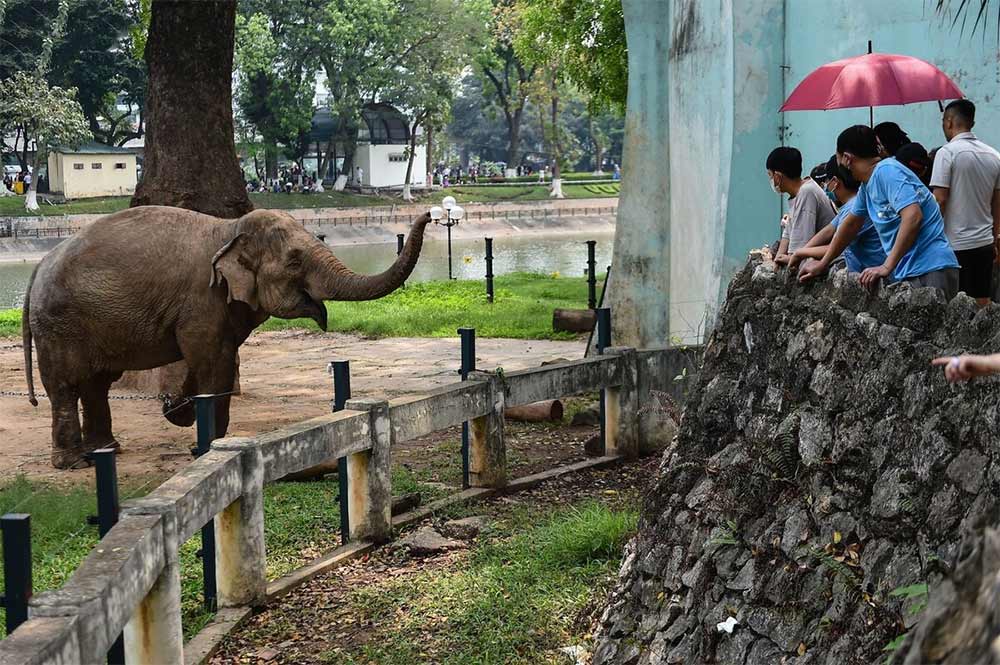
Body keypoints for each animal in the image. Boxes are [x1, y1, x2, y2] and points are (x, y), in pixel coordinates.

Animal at [23, 205, 430, 470]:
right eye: (295, 260)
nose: (429, 215)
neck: (229, 229)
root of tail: (39, 265)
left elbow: (216, 359)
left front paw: (182, 415)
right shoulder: (201, 300)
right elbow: (211, 364)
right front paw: (205, 447)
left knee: (97, 384)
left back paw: (107, 451)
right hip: (59, 325)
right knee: (66, 385)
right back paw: (74, 464)